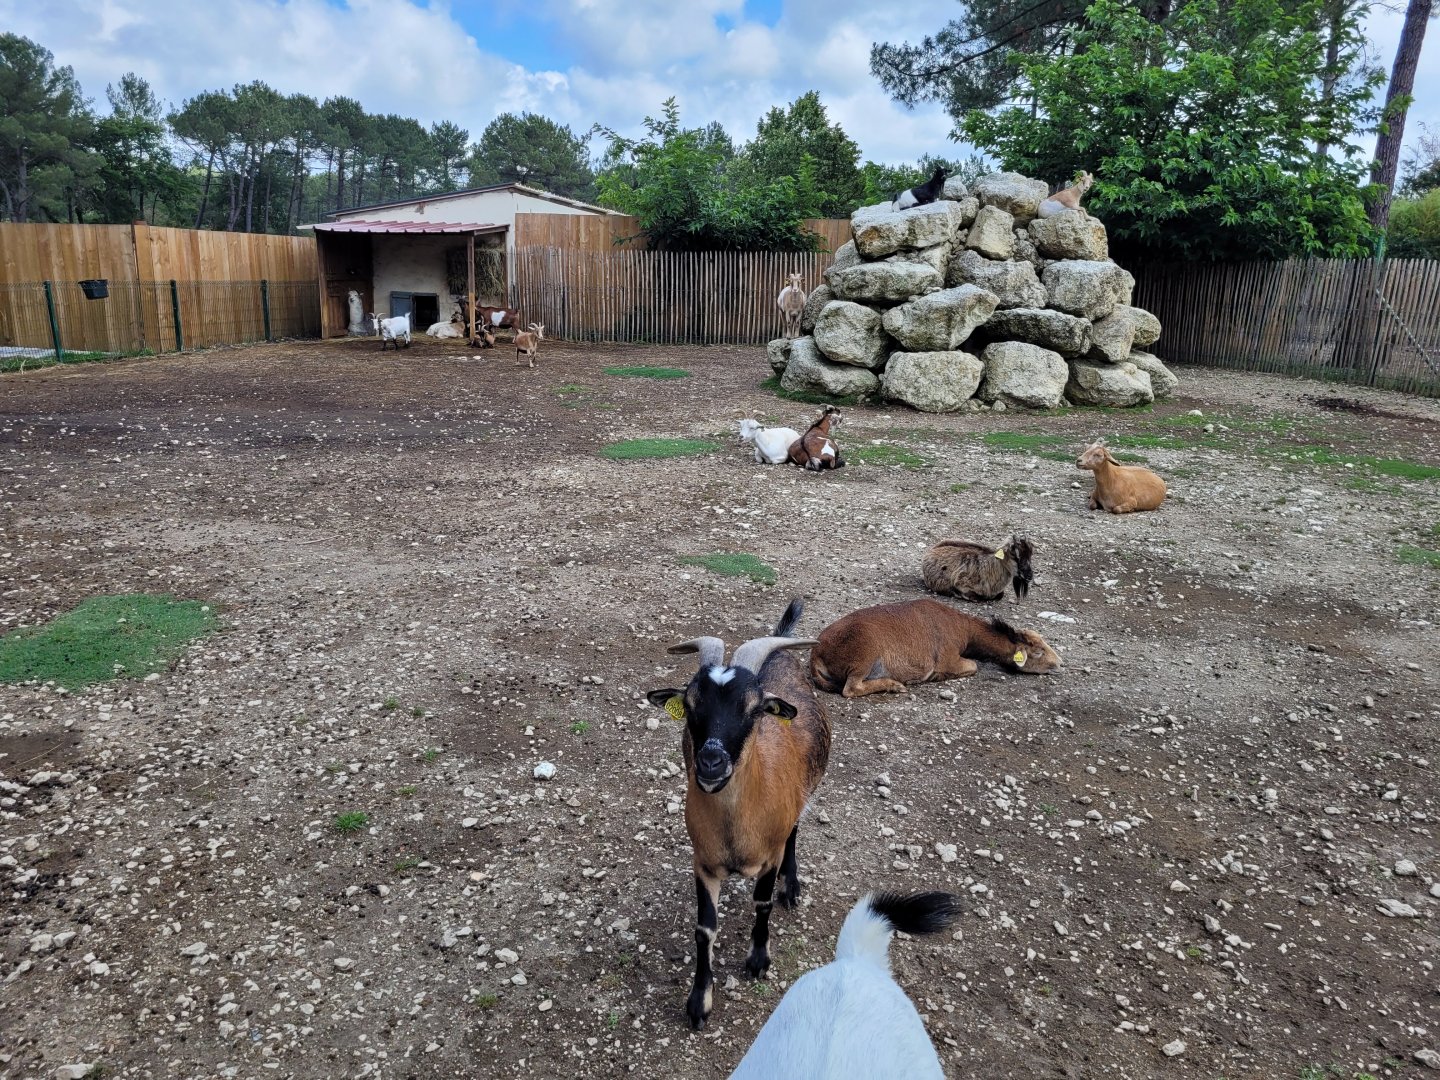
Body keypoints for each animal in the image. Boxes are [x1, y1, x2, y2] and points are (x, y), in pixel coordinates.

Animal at [646, 599, 830, 1031]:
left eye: (754, 709)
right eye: (690, 705)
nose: (710, 763)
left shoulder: (770, 855)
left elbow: (761, 904)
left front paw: (758, 961)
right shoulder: (703, 862)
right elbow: (704, 929)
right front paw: (699, 1002)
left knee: (796, 830)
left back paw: (791, 888)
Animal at [810, 598, 1061, 698]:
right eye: (1038, 651)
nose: (1059, 663)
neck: (965, 630)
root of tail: (817, 652)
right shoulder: (949, 658)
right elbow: (973, 666)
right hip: (864, 655)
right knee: (851, 688)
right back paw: (895, 685)